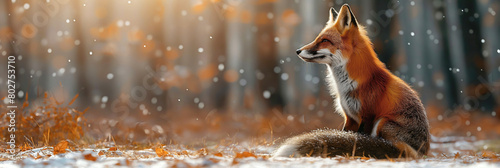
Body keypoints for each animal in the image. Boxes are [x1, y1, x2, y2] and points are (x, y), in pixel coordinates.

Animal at [274, 4, 430, 159]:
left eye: (324, 40)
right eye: (318, 38)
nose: (297, 51)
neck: (346, 85)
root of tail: (422, 152)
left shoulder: (367, 116)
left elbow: (359, 139)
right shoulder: (350, 117)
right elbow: (349, 137)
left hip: (383, 122)